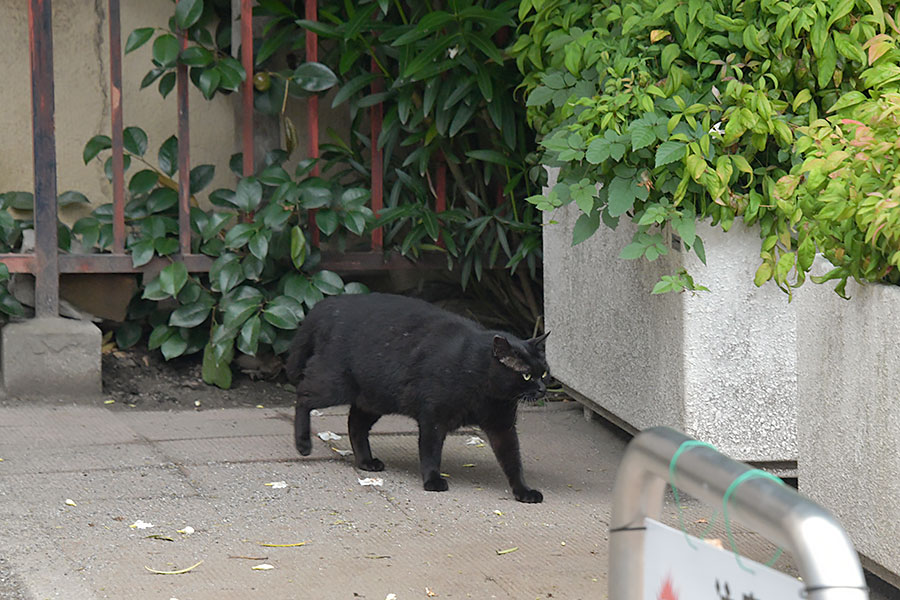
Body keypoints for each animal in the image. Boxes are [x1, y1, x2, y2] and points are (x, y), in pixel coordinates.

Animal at [286, 290, 548, 502]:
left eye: (544, 372)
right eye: (526, 375)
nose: (543, 388)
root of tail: (330, 304)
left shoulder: (502, 426)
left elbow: (513, 461)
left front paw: (524, 491)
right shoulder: (433, 417)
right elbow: (430, 451)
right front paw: (432, 481)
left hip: (373, 399)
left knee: (355, 425)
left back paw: (366, 462)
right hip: (334, 385)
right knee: (303, 396)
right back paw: (303, 444)